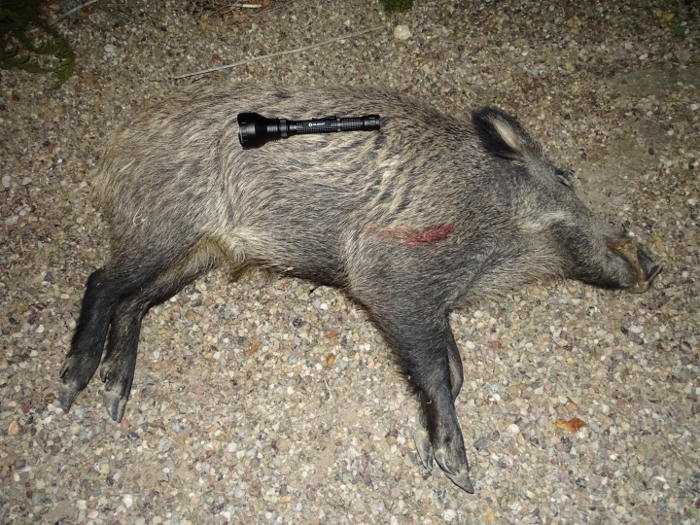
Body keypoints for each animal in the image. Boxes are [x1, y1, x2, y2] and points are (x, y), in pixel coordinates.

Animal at [59, 84, 660, 493]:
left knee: (133, 302)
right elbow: (438, 369)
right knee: (102, 282)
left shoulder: (435, 299)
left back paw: (115, 399)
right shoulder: (392, 273)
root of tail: (112, 152)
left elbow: (455, 370)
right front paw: (459, 473)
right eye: (562, 177)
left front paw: (426, 456)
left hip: (194, 254)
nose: (652, 261)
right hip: (162, 229)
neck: (494, 240)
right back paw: (71, 389)